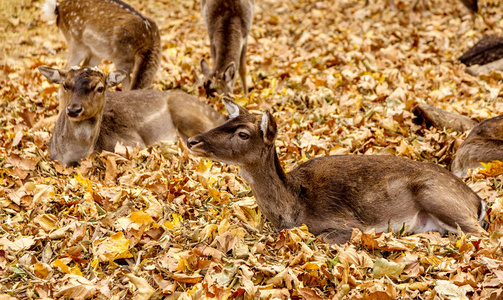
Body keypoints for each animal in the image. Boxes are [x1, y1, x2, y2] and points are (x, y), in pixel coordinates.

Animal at [188, 99, 488, 245]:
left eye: (242, 133)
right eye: (225, 120)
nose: (192, 141)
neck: (293, 209)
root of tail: (477, 200)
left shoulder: (347, 223)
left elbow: (323, 237)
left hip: (437, 195)